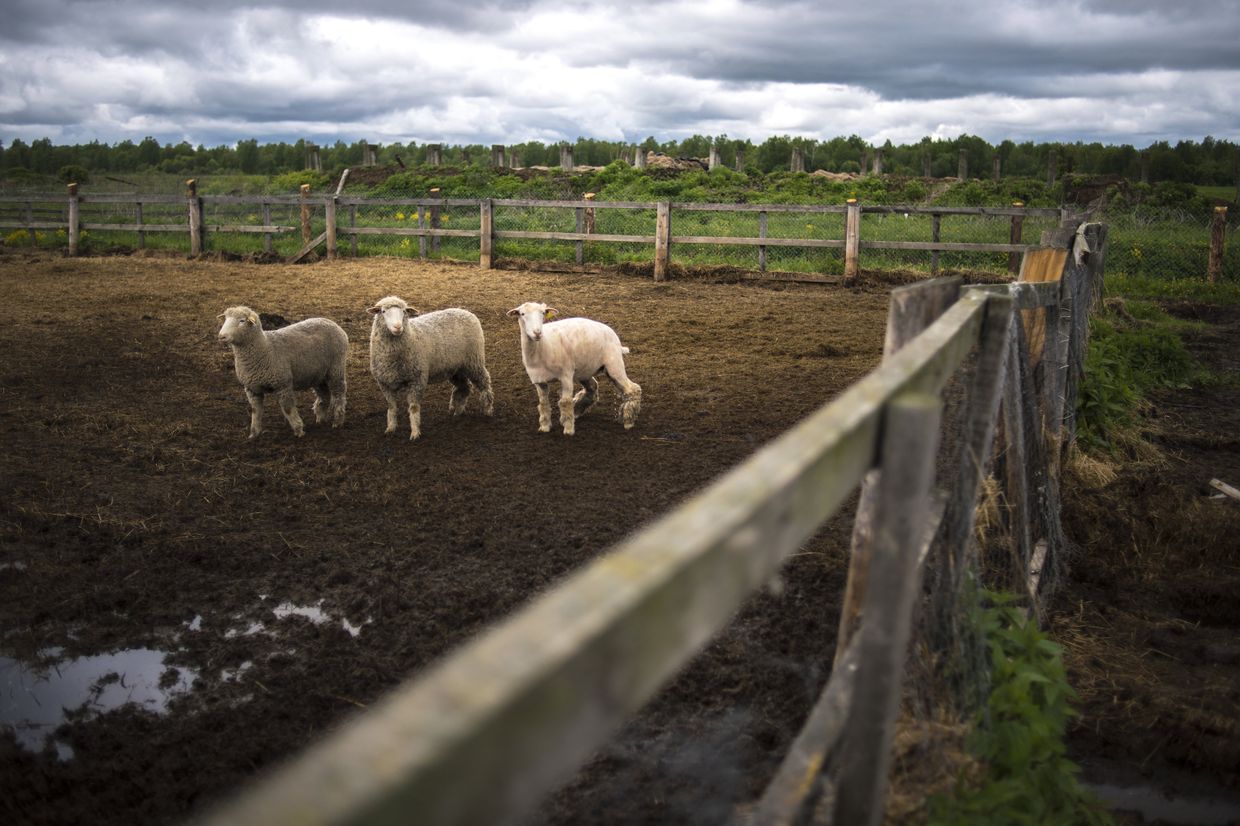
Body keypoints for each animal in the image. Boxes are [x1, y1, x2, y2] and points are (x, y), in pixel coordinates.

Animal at [217, 306, 348, 439]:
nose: (221, 336)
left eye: (242, 321)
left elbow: (288, 408)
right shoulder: (251, 389)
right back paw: (320, 420)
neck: (265, 348)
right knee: (324, 394)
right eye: (226, 319)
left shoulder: (282, 384)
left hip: (336, 368)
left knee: (339, 394)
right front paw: (254, 434)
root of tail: (331, 322)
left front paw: (299, 430)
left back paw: (337, 421)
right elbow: (255, 411)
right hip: (317, 374)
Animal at [368, 296, 494, 440]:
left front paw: (415, 433)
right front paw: (390, 428)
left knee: (484, 383)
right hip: (456, 368)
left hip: (474, 361)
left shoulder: (417, 380)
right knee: (465, 387)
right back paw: (458, 411)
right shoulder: (384, 383)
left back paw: (488, 410)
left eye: (404, 312)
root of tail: (466, 312)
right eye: (383, 311)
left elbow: (413, 408)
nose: (398, 326)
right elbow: (392, 407)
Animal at [506, 301, 641, 436]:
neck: (543, 347)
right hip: (585, 370)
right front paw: (544, 427)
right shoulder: (540, 382)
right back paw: (577, 410)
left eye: (543, 313)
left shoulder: (566, 375)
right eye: (522, 314)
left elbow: (565, 402)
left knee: (633, 389)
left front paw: (568, 430)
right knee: (592, 387)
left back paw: (628, 420)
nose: (537, 333)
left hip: (614, 365)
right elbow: (543, 403)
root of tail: (611, 332)